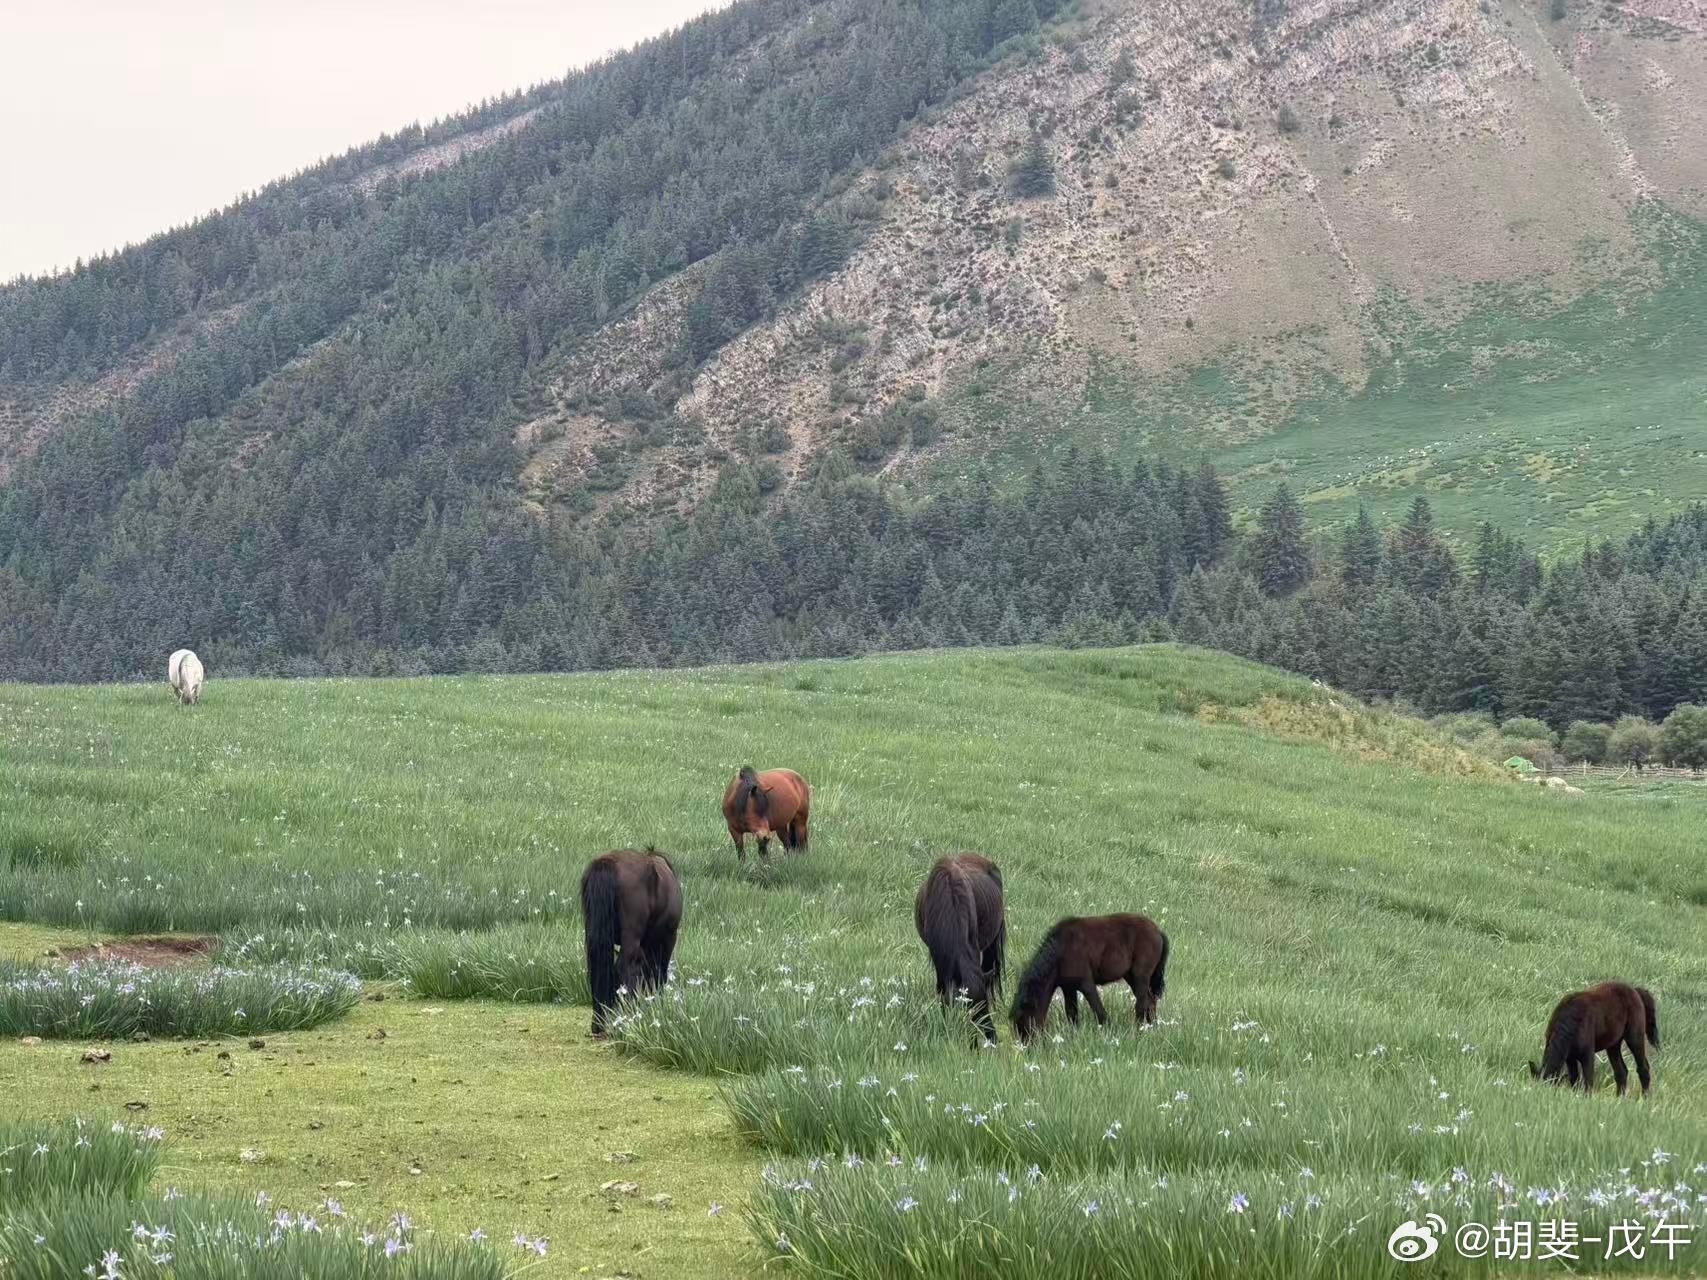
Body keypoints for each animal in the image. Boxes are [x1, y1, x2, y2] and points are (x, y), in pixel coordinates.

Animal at [580, 848, 683, 1038]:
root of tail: (607, 863)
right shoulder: (668, 938)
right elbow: (658, 973)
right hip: (633, 936)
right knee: (624, 967)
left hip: (595, 934)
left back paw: (599, 1023)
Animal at [1010, 913, 1168, 1043]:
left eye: (1024, 1019)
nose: (1027, 1046)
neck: (1061, 951)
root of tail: (1158, 931)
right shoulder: (1068, 987)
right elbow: (1071, 1013)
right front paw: (1074, 1035)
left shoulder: (1086, 984)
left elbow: (1099, 1010)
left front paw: (1107, 1031)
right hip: (1131, 976)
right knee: (1150, 1001)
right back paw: (1152, 1027)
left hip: (1140, 976)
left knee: (1142, 1004)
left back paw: (1139, 1031)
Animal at [1529, 981, 1659, 1097]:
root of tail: (1635, 991)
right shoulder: (1570, 1057)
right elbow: (1574, 1079)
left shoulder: (1587, 1055)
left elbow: (1588, 1080)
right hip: (1613, 1045)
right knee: (1621, 1071)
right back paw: (1619, 1099)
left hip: (1634, 1037)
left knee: (1643, 1068)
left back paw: (1645, 1098)